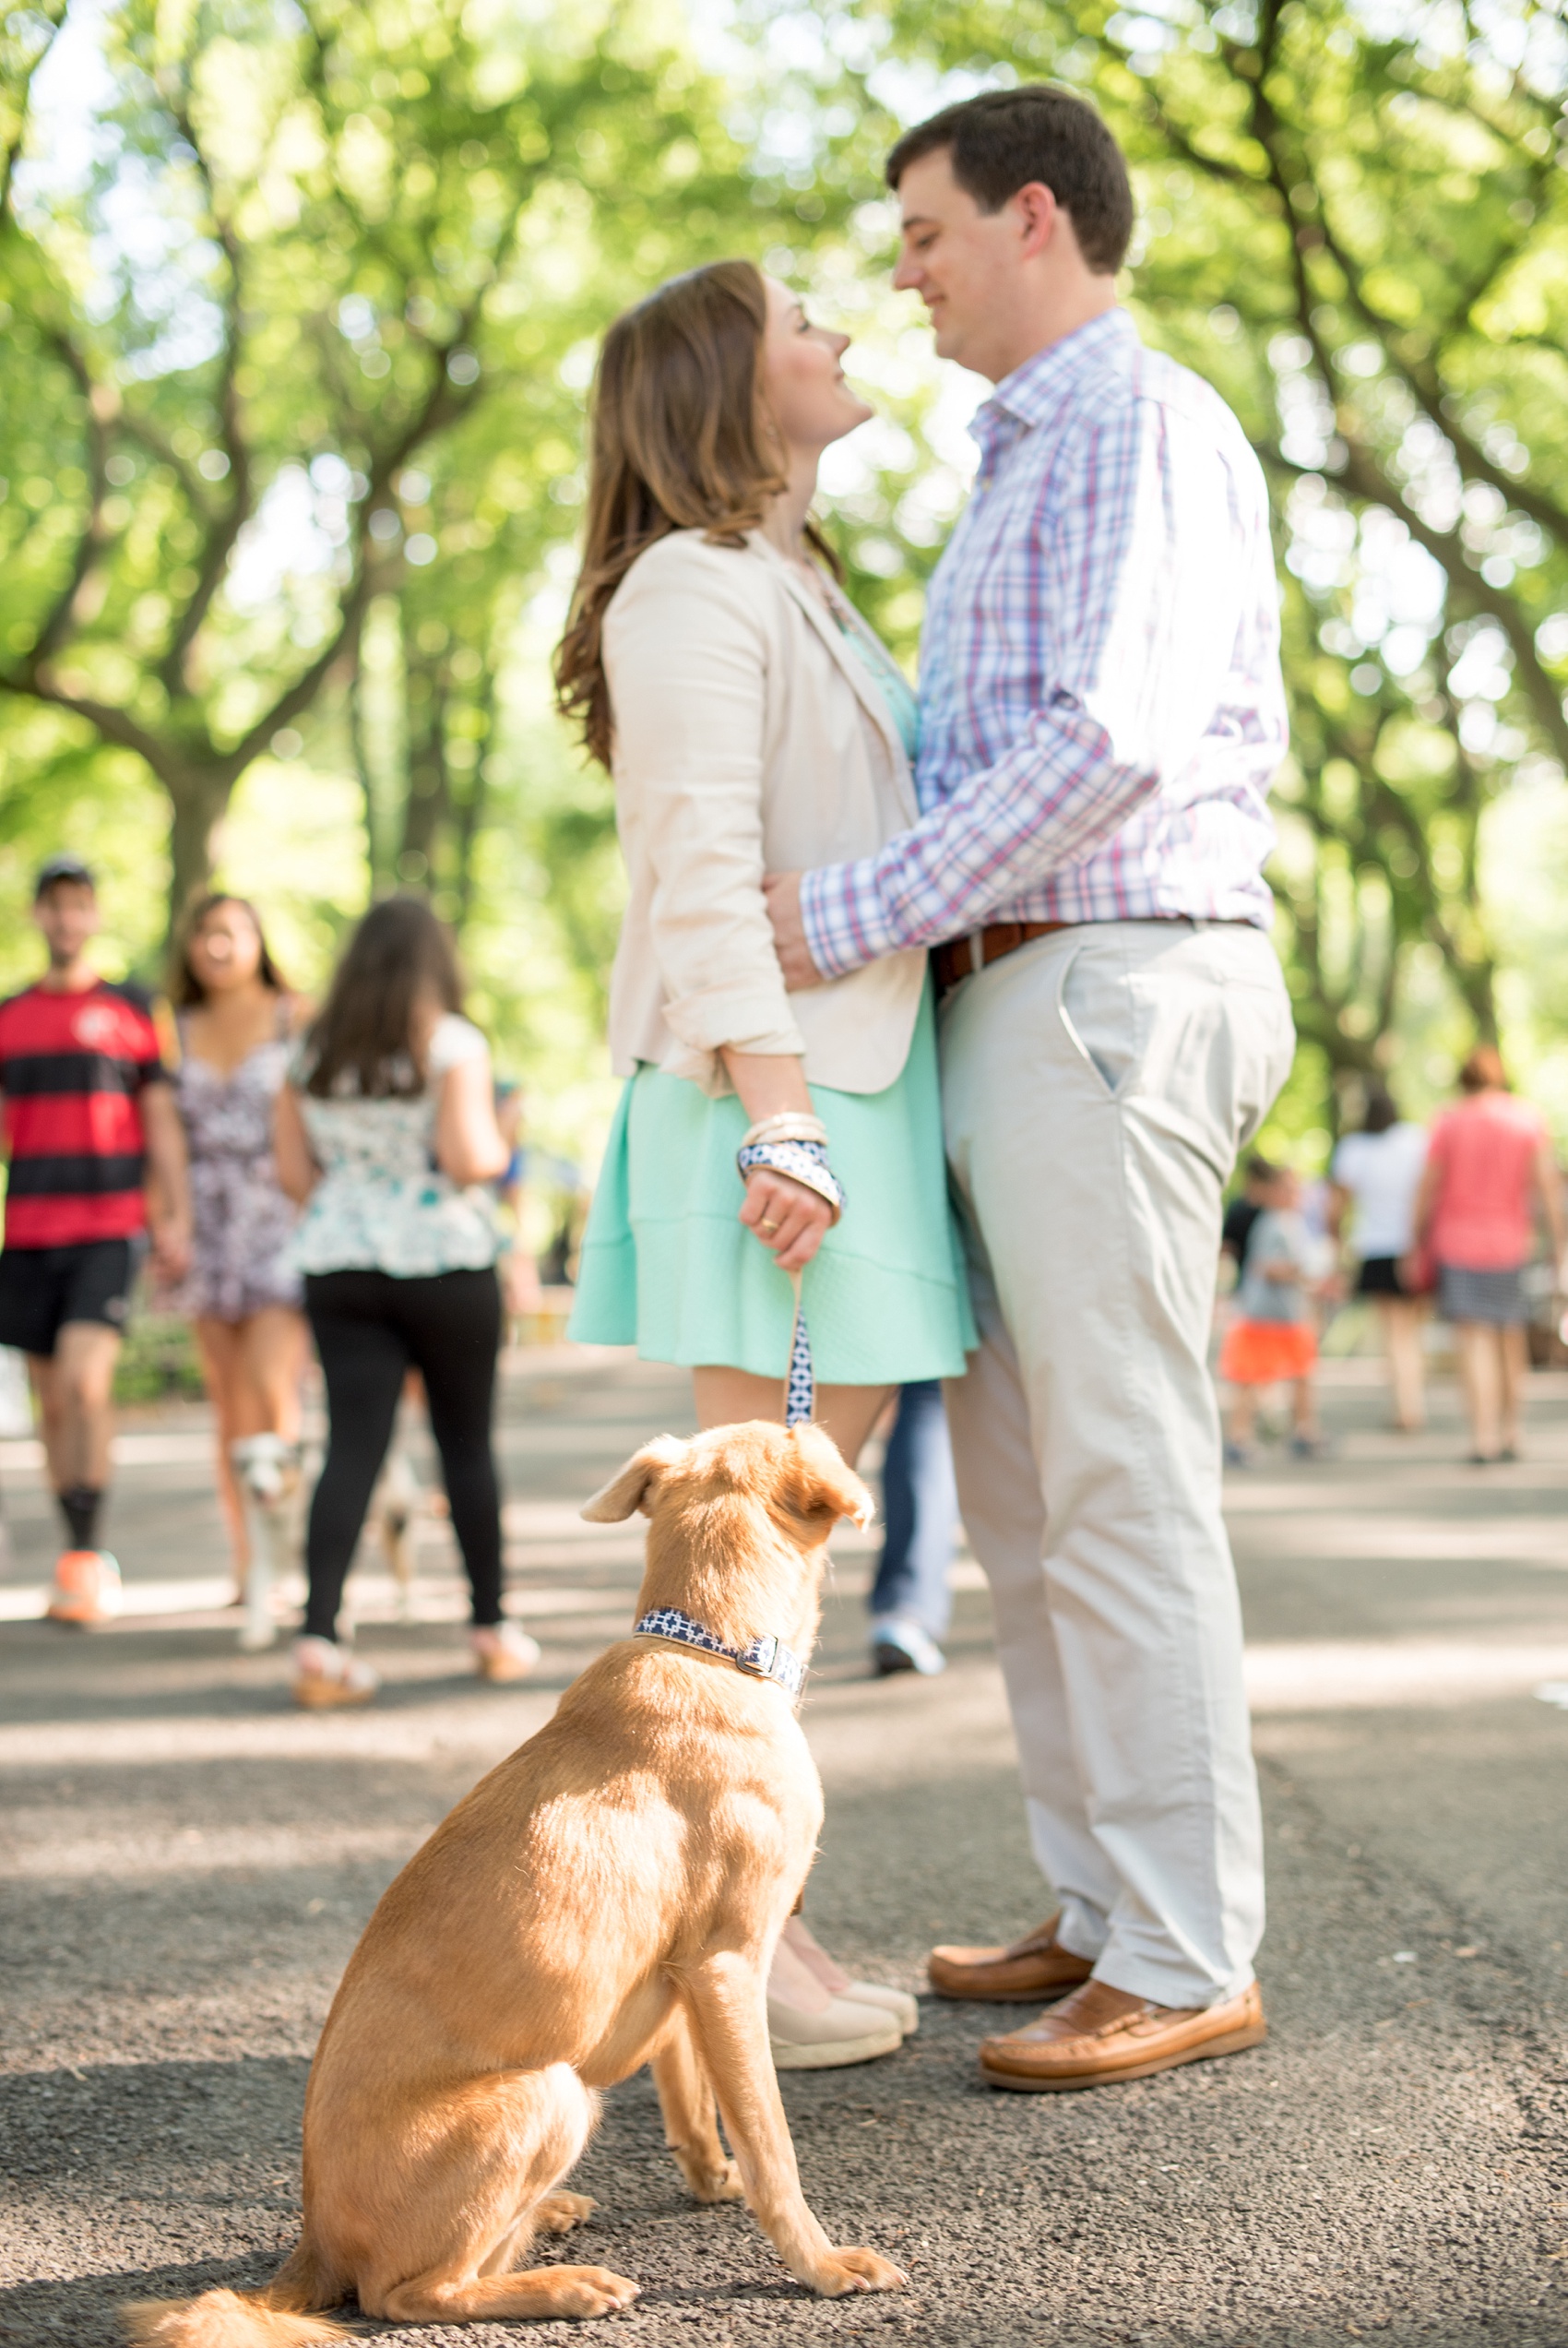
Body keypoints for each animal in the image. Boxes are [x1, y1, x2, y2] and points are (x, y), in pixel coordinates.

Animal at [125, 1418, 906, 2338]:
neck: (707, 1647)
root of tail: (311, 2242)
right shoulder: (730, 1964)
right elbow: (771, 2145)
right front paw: (820, 2264)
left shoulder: (685, 1974)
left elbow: (690, 2097)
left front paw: (710, 2176)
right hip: (550, 2096)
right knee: (407, 2293)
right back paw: (564, 2283)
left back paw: (551, 2216)